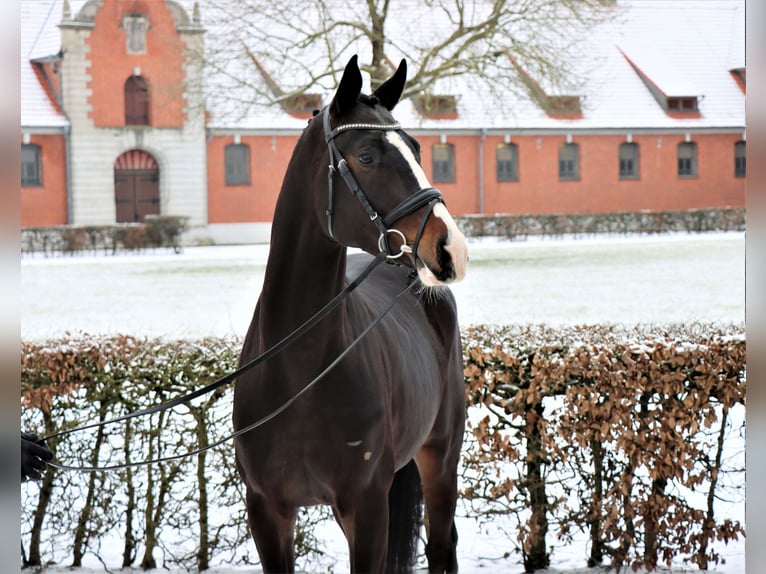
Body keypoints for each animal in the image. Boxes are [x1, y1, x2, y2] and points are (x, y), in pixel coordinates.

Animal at [231, 55, 468, 574]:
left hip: (440, 459)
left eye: (417, 148)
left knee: (442, 545)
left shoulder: (367, 506)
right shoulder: (267, 511)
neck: (299, 372)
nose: (450, 249)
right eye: (366, 156)